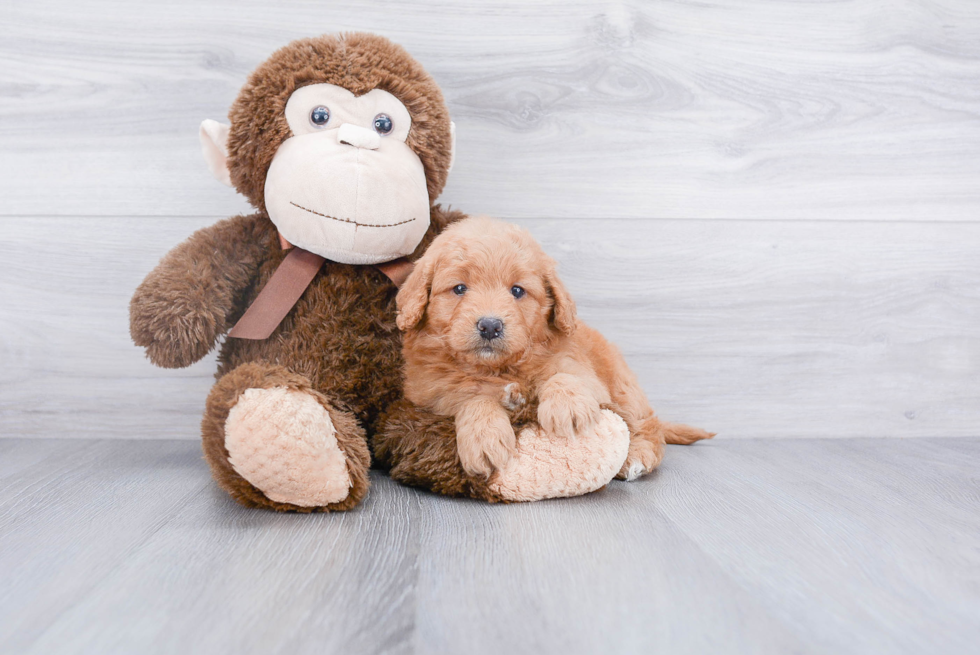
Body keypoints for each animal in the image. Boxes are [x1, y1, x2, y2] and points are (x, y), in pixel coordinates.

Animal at [396, 218, 712, 480]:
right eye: (459, 288)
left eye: (517, 291)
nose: (490, 326)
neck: (499, 369)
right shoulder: (431, 392)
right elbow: (472, 397)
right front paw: (484, 437)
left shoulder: (583, 373)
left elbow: (564, 375)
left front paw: (567, 407)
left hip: (623, 387)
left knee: (647, 425)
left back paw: (637, 457)